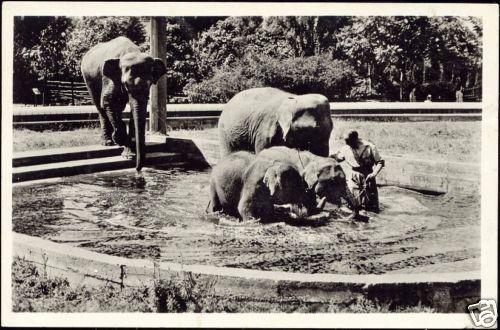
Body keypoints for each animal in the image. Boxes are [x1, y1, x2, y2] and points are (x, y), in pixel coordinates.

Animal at [81, 36, 167, 171]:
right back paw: (107, 142)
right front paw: (120, 140)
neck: (130, 52)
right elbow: (108, 101)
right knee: (99, 105)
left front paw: (128, 154)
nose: (137, 169)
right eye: (125, 85)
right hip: (88, 78)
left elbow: (133, 112)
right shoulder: (109, 78)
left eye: (150, 84)